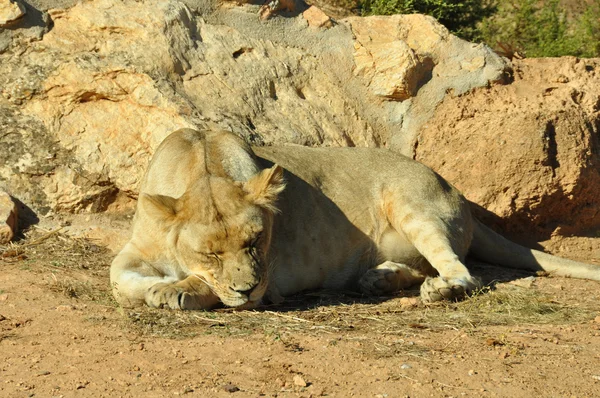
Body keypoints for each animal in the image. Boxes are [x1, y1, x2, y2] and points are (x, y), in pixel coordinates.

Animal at [109, 129, 600, 310]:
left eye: (257, 240)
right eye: (210, 252)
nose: (247, 288)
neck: (203, 164)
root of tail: (456, 192)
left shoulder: (271, 282)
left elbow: (205, 288)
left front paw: (174, 289)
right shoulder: (134, 250)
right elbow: (119, 277)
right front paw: (157, 284)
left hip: (411, 202)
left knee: (463, 272)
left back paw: (438, 289)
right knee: (423, 265)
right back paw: (378, 279)